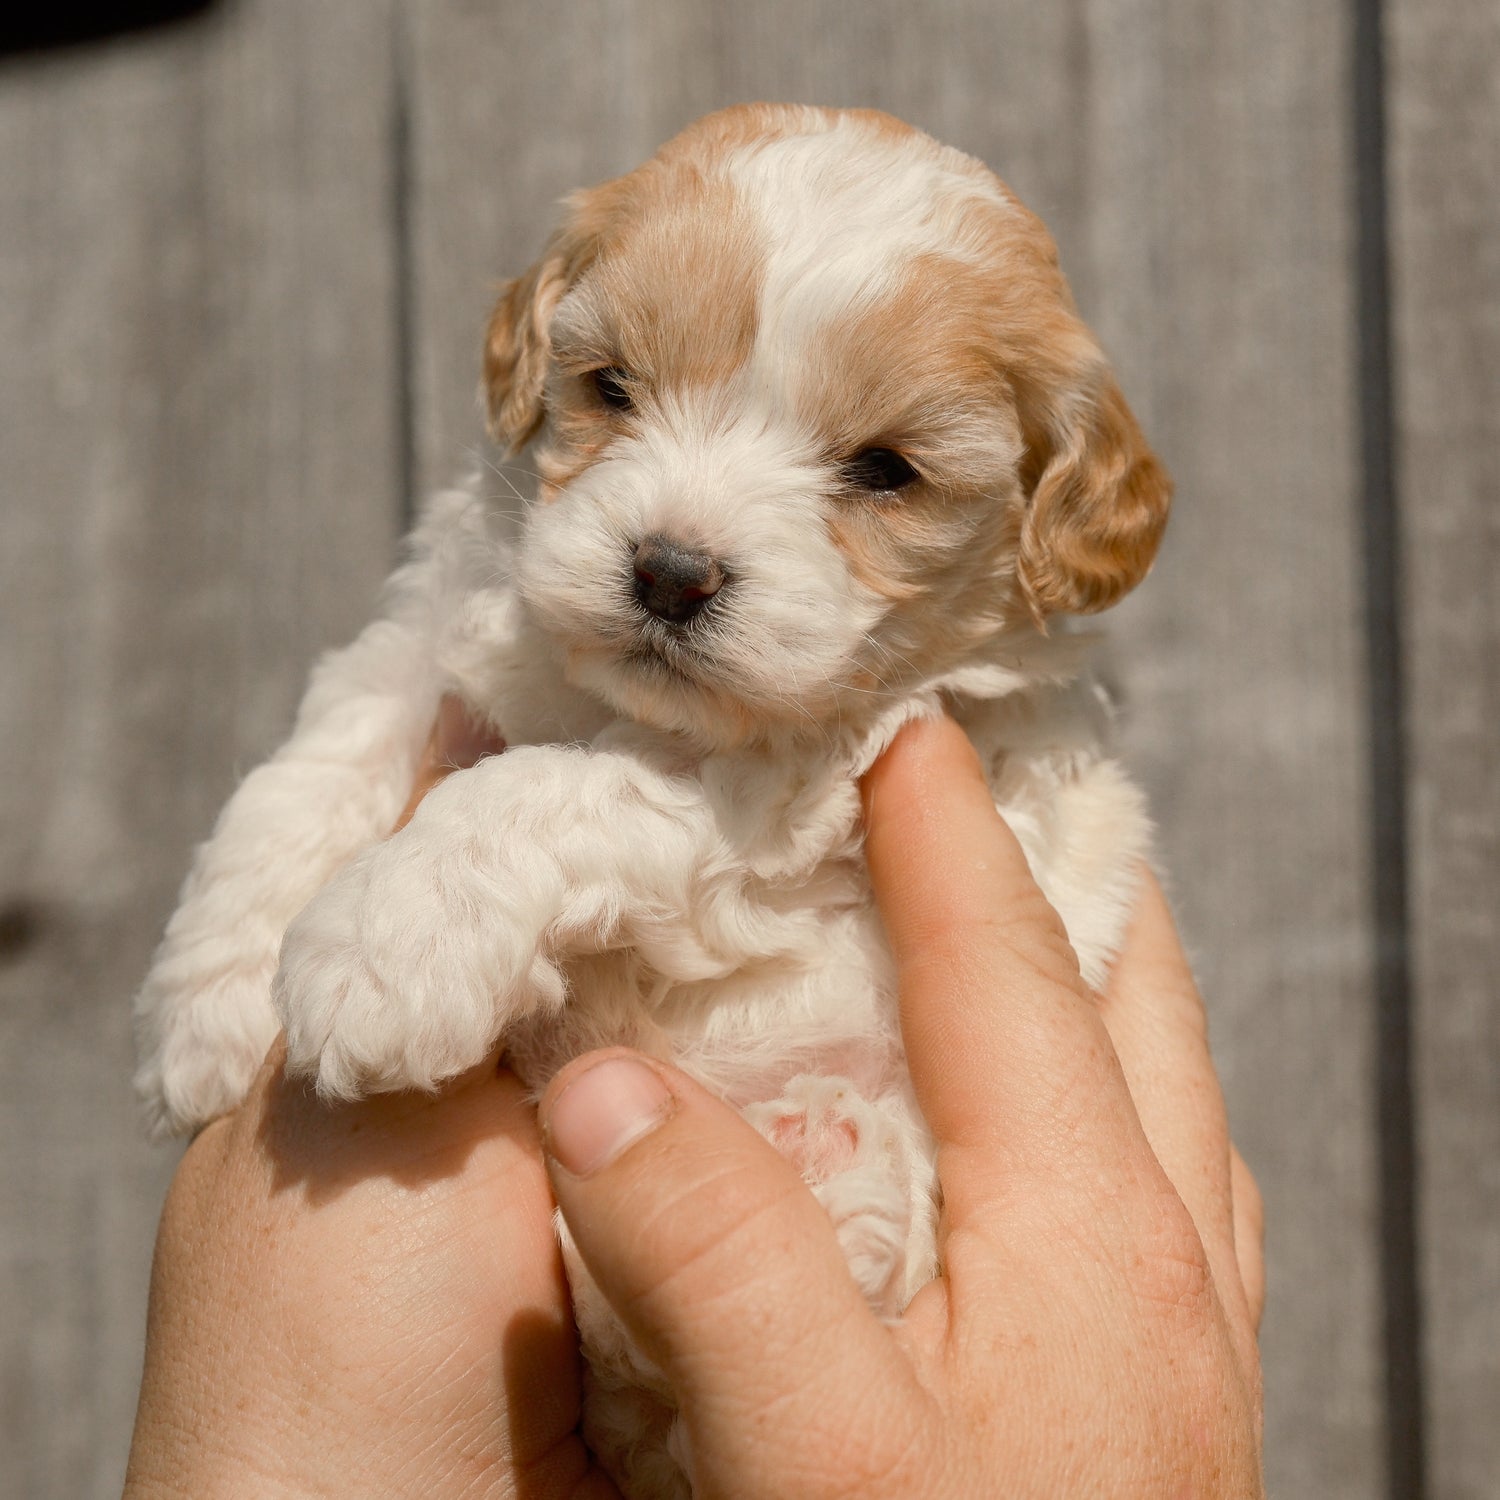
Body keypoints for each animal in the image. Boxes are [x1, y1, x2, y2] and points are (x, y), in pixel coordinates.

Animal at [135, 105, 1170, 1500]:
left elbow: (557, 789)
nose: (670, 572)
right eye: (612, 389)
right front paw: (211, 1003)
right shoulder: (426, 635)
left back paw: (832, 1173)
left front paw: (386, 946)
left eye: (885, 471)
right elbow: (313, 761)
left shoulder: (804, 772)